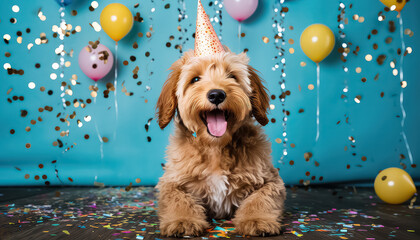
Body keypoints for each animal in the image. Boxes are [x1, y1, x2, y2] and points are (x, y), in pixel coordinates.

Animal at [156, 47, 288, 236]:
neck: (215, 148)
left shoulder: (271, 180)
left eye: (232, 76)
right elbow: (178, 199)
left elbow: (260, 198)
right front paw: (182, 220)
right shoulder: (171, 181)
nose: (216, 94)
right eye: (195, 79)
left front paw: (257, 220)